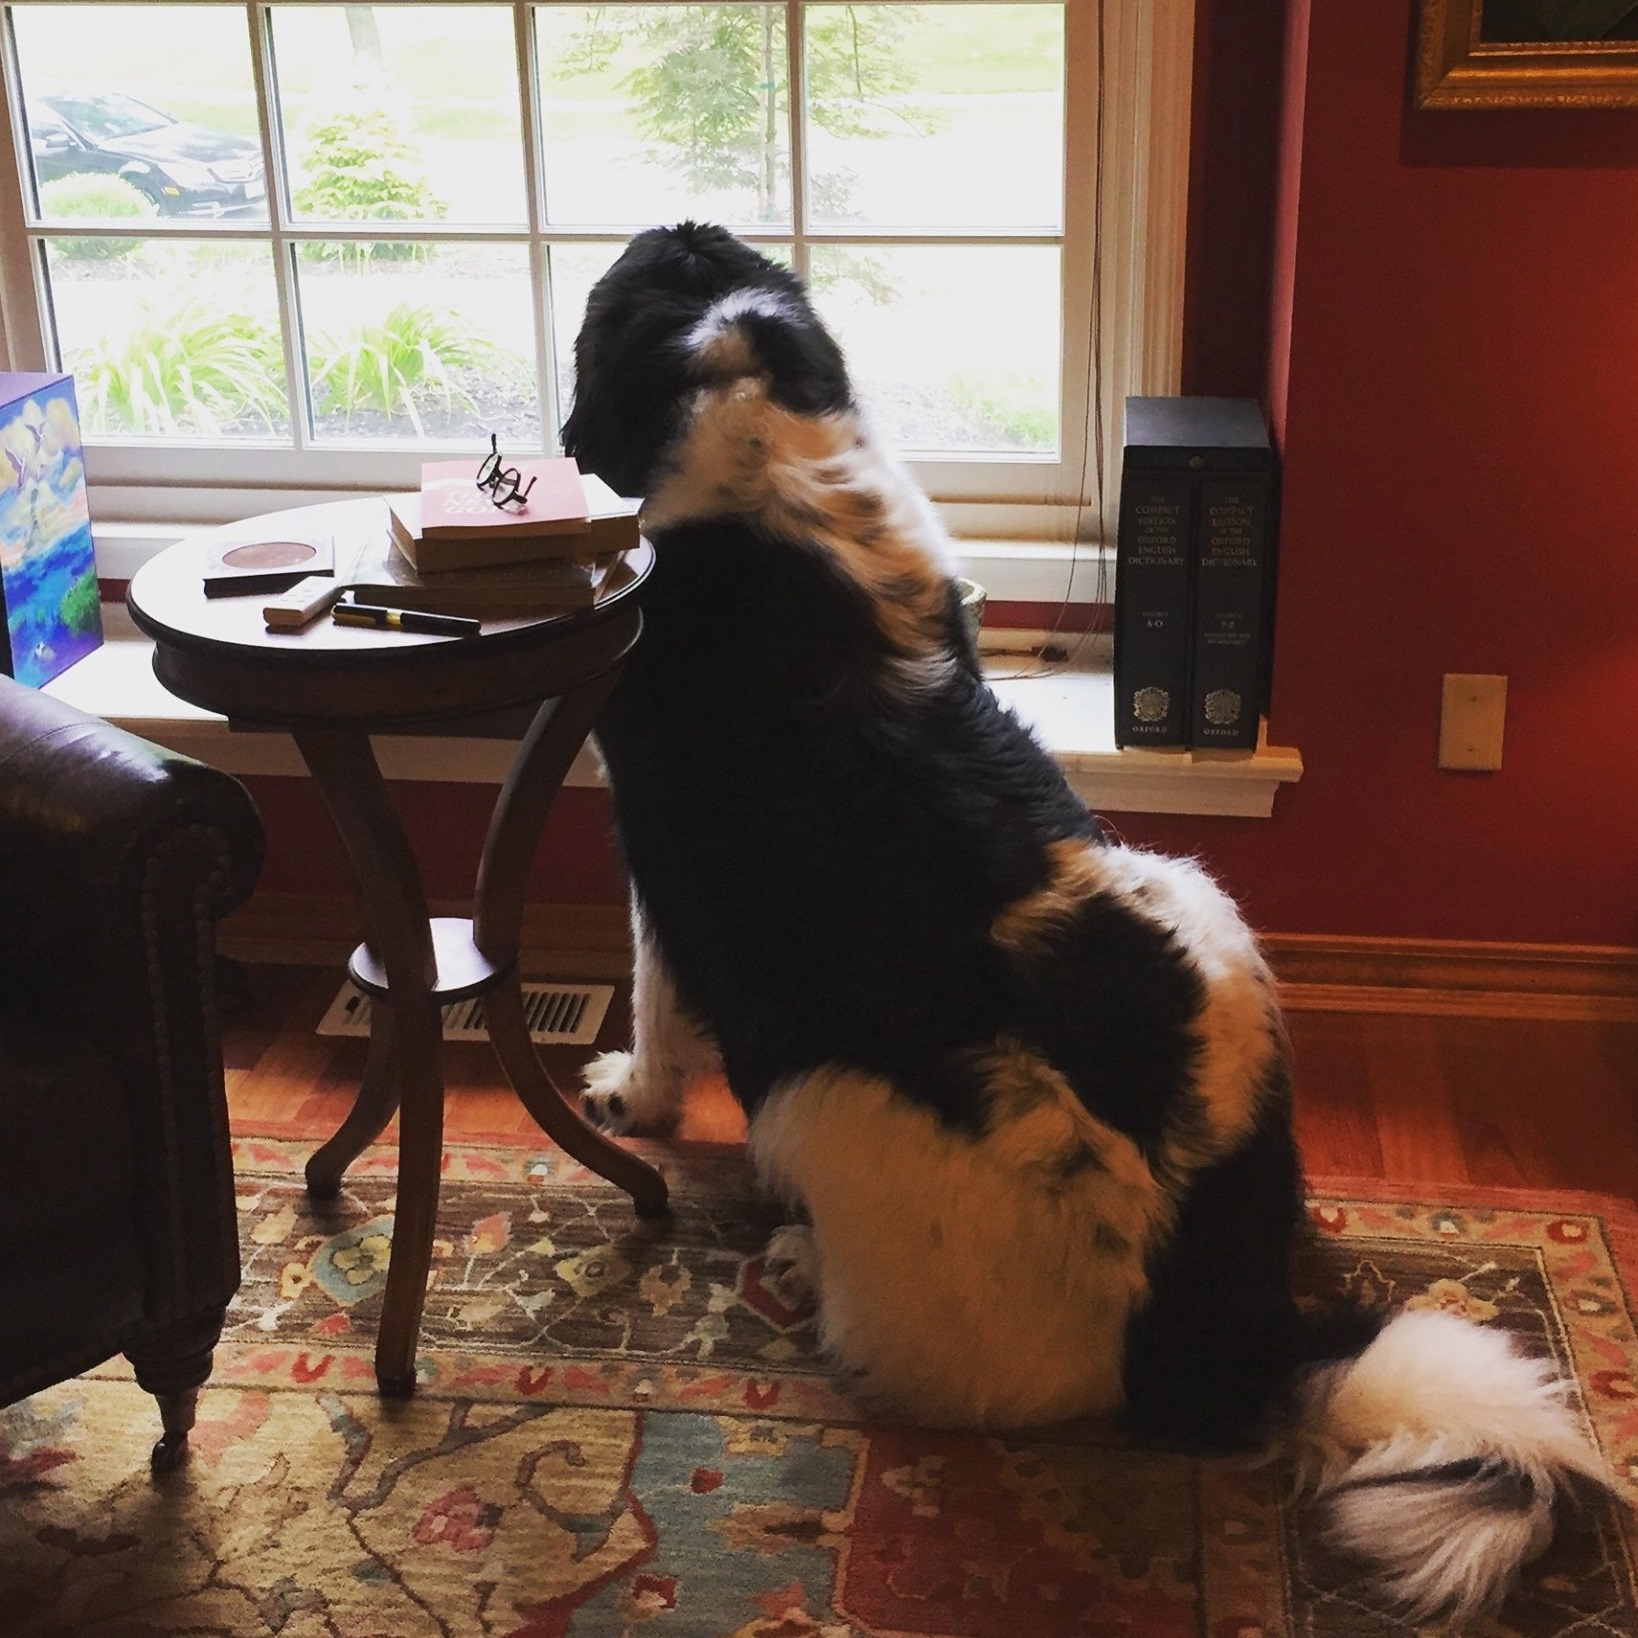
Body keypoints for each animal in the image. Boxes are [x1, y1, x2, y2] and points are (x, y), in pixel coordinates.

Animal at [561, 221, 1613, 1626]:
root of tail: (1218, 1330)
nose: (682, 226)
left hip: (839, 1105)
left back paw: (797, 1260)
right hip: (1205, 904)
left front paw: (632, 1096)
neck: (754, 411)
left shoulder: (658, 850)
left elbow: (656, 989)